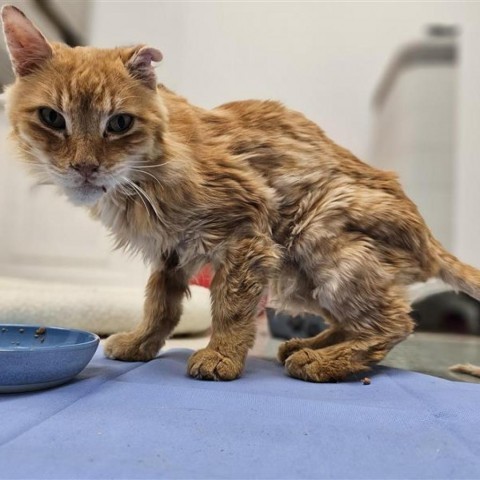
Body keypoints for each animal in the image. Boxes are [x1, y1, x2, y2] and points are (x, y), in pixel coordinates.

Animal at [1, 5, 478, 382]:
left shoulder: (246, 231)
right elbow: (160, 305)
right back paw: (311, 346)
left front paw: (220, 356)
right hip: (300, 278)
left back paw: (323, 362)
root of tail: (428, 240)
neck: (142, 179)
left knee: (394, 323)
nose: (84, 167)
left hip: (318, 236)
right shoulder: (171, 254)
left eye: (119, 123)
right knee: (363, 320)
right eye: (52, 118)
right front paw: (142, 343)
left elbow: (230, 306)